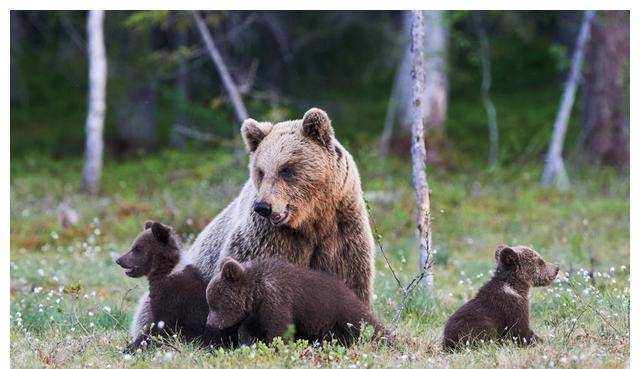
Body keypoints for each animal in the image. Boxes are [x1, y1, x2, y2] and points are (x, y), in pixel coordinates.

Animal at [129, 107, 376, 342]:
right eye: (261, 171)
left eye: (287, 169)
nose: (263, 206)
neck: (311, 221)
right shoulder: (269, 239)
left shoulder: (340, 233)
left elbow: (346, 281)